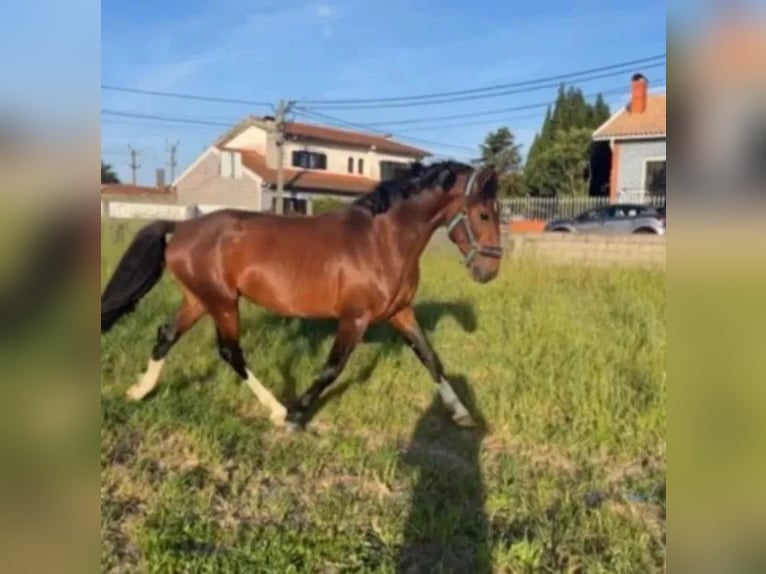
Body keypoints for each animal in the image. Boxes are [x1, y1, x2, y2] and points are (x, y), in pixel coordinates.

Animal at [100, 160, 503, 431]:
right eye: (484, 214)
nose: (489, 271)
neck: (382, 240)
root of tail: (182, 227)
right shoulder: (355, 319)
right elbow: (331, 369)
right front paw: (297, 414)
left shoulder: (400, 312)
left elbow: (431, 358)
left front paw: (462, 413)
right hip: (222, 302)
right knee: (230, 351)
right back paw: (276, 410)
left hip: (199, 299)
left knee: (166, 335)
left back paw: (139, 390)